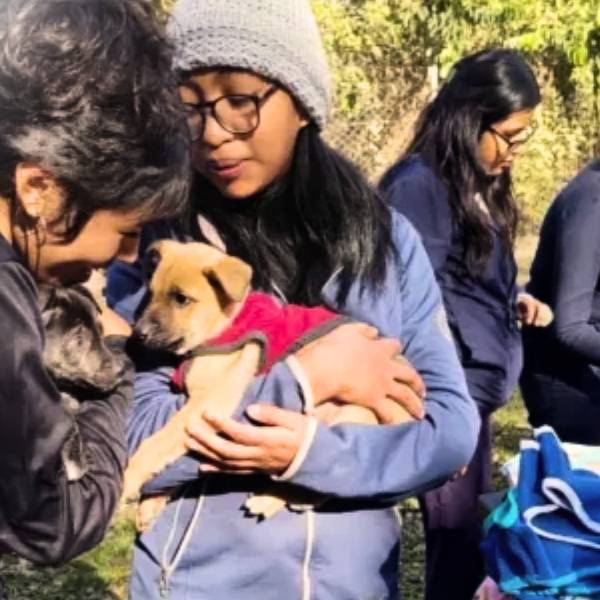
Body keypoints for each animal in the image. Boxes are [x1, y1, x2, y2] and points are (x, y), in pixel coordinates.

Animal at [122, 239, 412, 520]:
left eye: (181, 299)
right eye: (151, 293)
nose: (137, 334)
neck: (225, 324)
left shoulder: (211, 401)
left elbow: (158, 441)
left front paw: (128, 479)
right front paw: (153, 499)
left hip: (354, 416)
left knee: (326, 480)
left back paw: (274, 498)